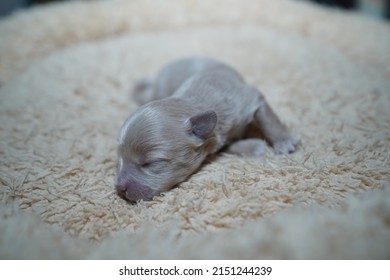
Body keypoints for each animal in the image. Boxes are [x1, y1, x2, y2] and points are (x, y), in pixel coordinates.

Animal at [116, 57, 298, 201]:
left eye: (150, 163)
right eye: (120, 159)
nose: (119, 188)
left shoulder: (248, 99)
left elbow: (269, 119)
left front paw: (284, 140)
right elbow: (226, 146)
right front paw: (253, 146)